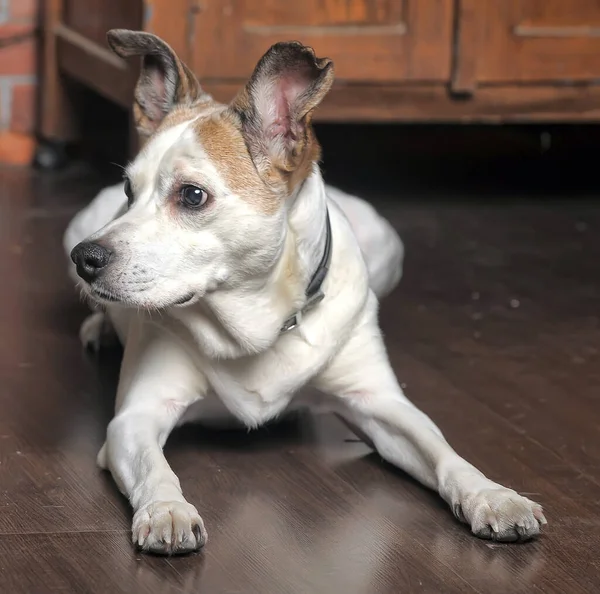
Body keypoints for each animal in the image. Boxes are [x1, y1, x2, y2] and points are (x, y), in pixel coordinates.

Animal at [64, 30, 544, 552]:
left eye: (192, 196)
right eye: (129, 192)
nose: (85, 260)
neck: (257, 322)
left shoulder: (382, 404)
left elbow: (444, 452)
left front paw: (491, 495)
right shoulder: (135, 418)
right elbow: (156, 468)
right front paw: (167, 508)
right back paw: (98, 328)